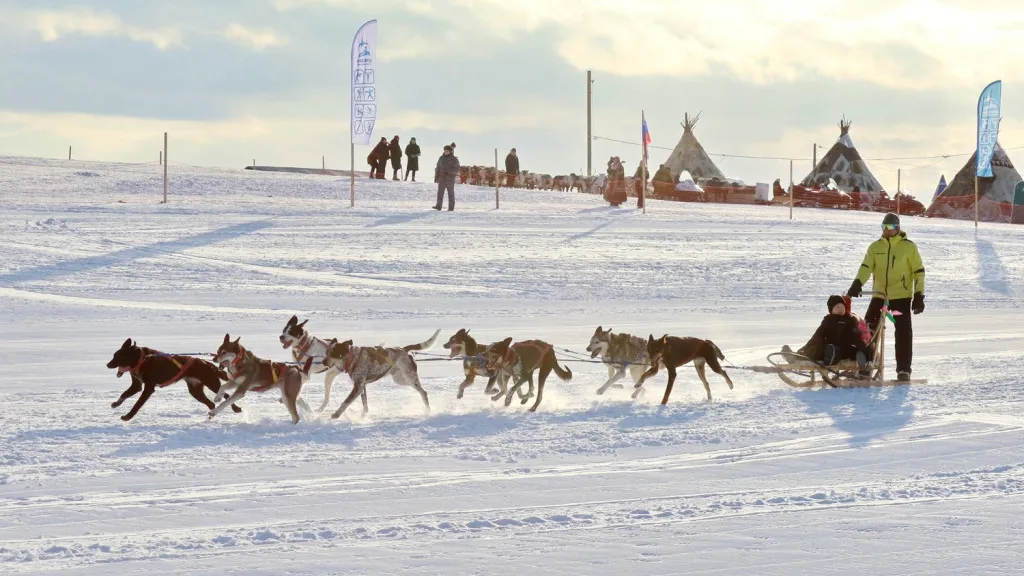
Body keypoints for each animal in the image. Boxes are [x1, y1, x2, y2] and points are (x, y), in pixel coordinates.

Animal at [104, 336, 241, 422]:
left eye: (119, 356)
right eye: (114, 355)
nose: (107, 365)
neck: (142, 359)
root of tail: (207, 363)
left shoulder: (148, 388)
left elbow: (137, 405)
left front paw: (128, 416)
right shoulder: (136, 385)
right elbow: (124, 394)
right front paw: (116, 403)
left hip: (212, 384)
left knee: (226, 395)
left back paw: (236, 408)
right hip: (195, 391)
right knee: (211, 403)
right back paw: (212, 415)